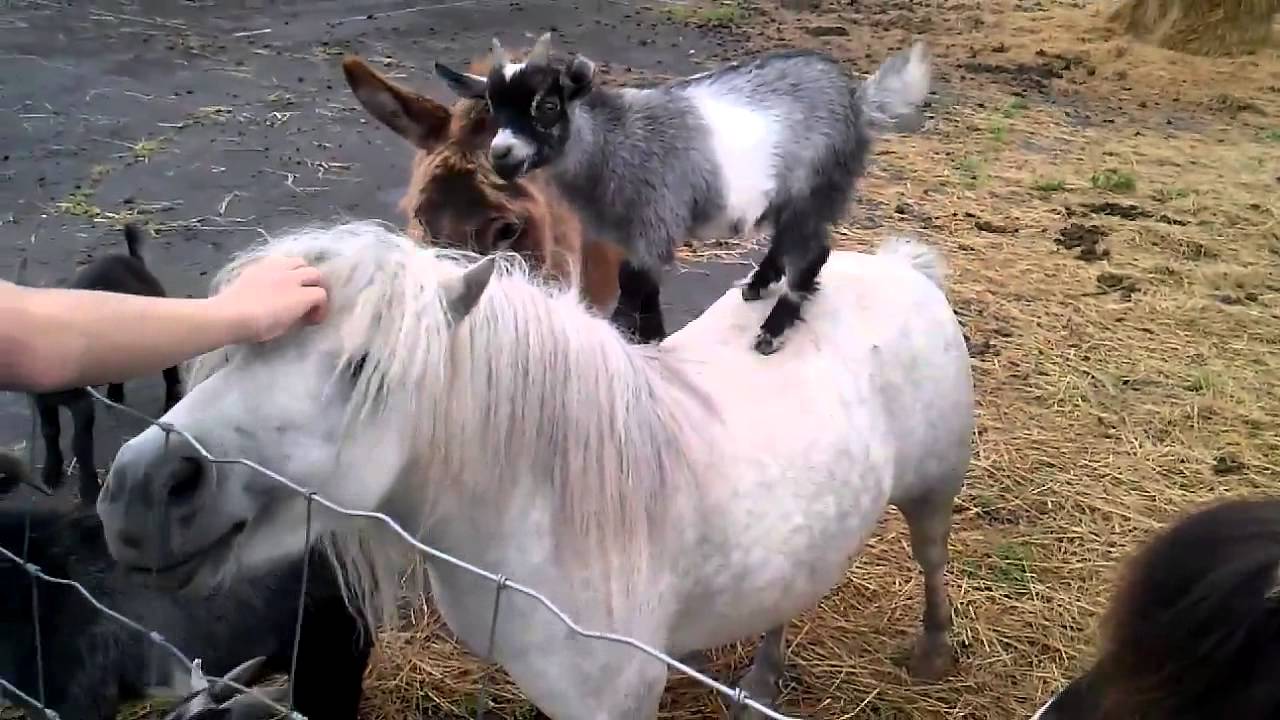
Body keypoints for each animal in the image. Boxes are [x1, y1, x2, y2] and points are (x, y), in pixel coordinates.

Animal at [33, 223, 183, 505]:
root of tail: (133, 260)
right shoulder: (41, 400)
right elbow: (49, 431)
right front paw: (50, 473)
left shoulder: (82, 403)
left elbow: (81, 443)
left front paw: (90, 490)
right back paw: (115, 393)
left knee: (170, 367)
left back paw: (172, 400)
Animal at [95, 219, 975, 719]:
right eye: (235, 345)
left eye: (365, 367)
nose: (143, 491)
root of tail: (901, 267)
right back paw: (761, 682)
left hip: (932, 492)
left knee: (933, 558)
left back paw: (933, 656)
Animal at [435, 34, 932, 354]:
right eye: (492, 105)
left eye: (549, 106)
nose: (502, 155)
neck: (615, 142)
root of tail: (859, 100)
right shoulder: (624, 233)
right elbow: (639, 281)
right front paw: (647, 333)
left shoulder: (656, 218)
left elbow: (636, 282)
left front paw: (636, 335)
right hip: (790, 194)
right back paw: (757, 284)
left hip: (820, 186)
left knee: (814, 252)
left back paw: (772, 331)